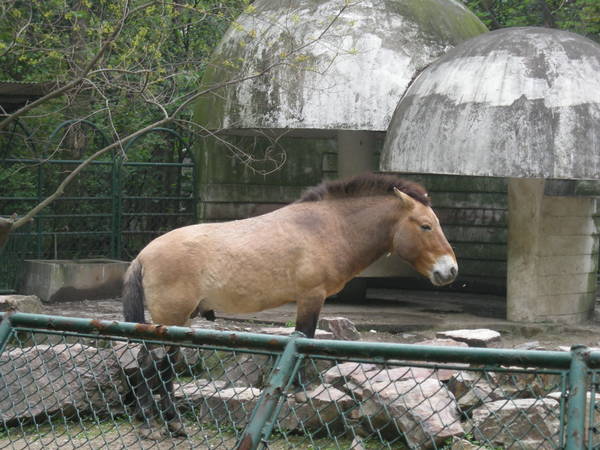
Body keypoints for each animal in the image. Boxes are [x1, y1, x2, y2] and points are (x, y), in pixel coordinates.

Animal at [123, 174, 460, 438]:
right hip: (171, 319)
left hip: (179, 322)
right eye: (426, 226)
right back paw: (153, 423)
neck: (327, 227)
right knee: (153, 364)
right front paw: (299, 391)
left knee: (163, 365)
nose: (450, 270)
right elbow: (304, 339)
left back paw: (168, 422)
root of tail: (143, 255)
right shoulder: (311, 298)